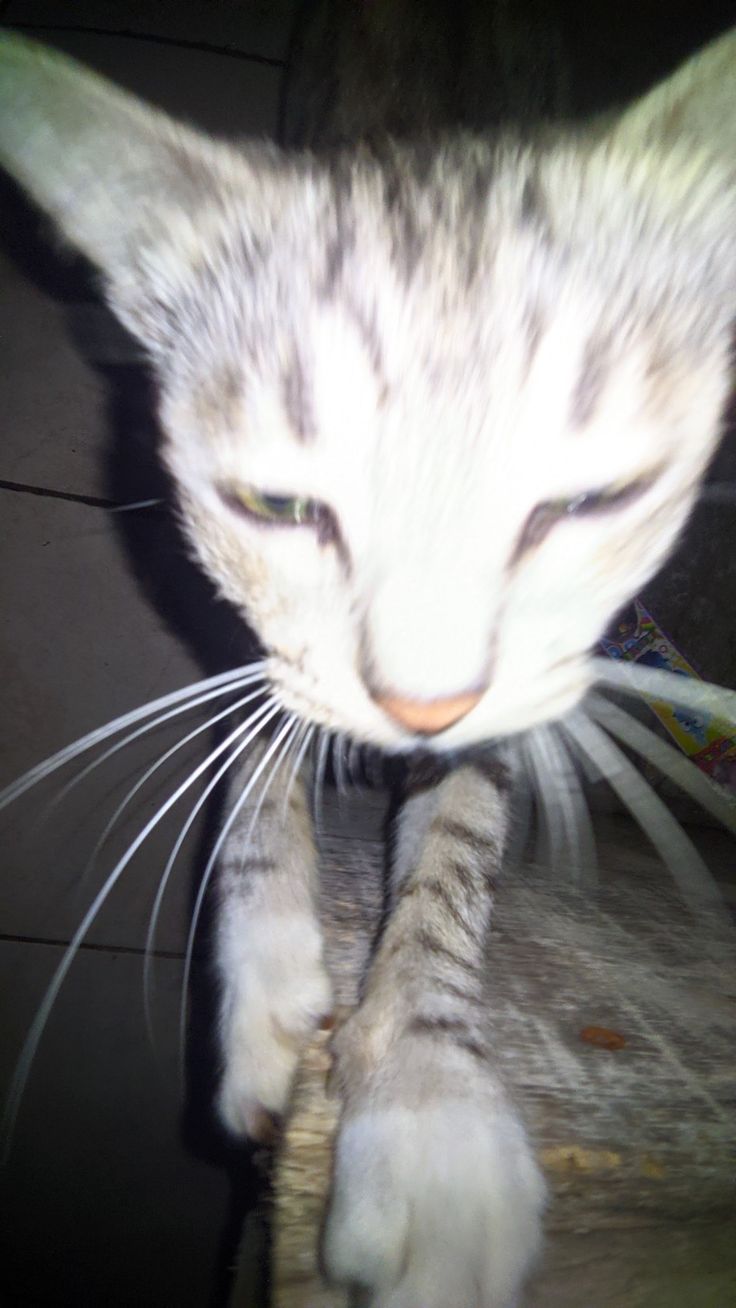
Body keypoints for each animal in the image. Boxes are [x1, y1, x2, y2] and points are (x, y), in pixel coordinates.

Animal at [1, 20, 736, 1308]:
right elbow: (250, 747)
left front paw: (424, 1095)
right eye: (276, 504)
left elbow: (456, 846)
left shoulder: (525, 682)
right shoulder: (237, 608)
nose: (420, 706)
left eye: (592, 500)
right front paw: (261, 980)